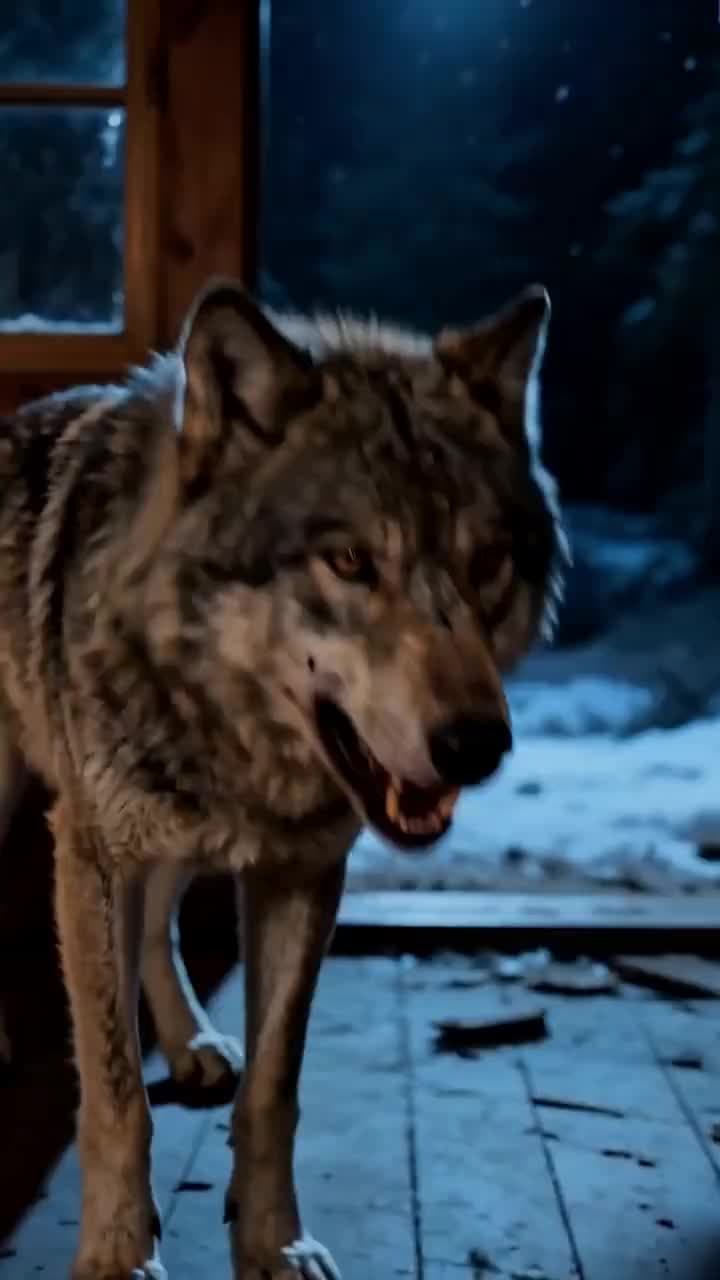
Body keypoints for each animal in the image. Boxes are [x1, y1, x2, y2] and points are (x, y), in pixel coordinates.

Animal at [0, 277, 566, 1279]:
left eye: (489, 562)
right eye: (349, 561)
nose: (476, 745)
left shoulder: (300, 873)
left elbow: (271, 1093)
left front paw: (274, 1246)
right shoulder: (93, 854)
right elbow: (114, 1093)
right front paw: (117, 1254)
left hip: (173, 841)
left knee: (160, 930)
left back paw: (191, 1043)